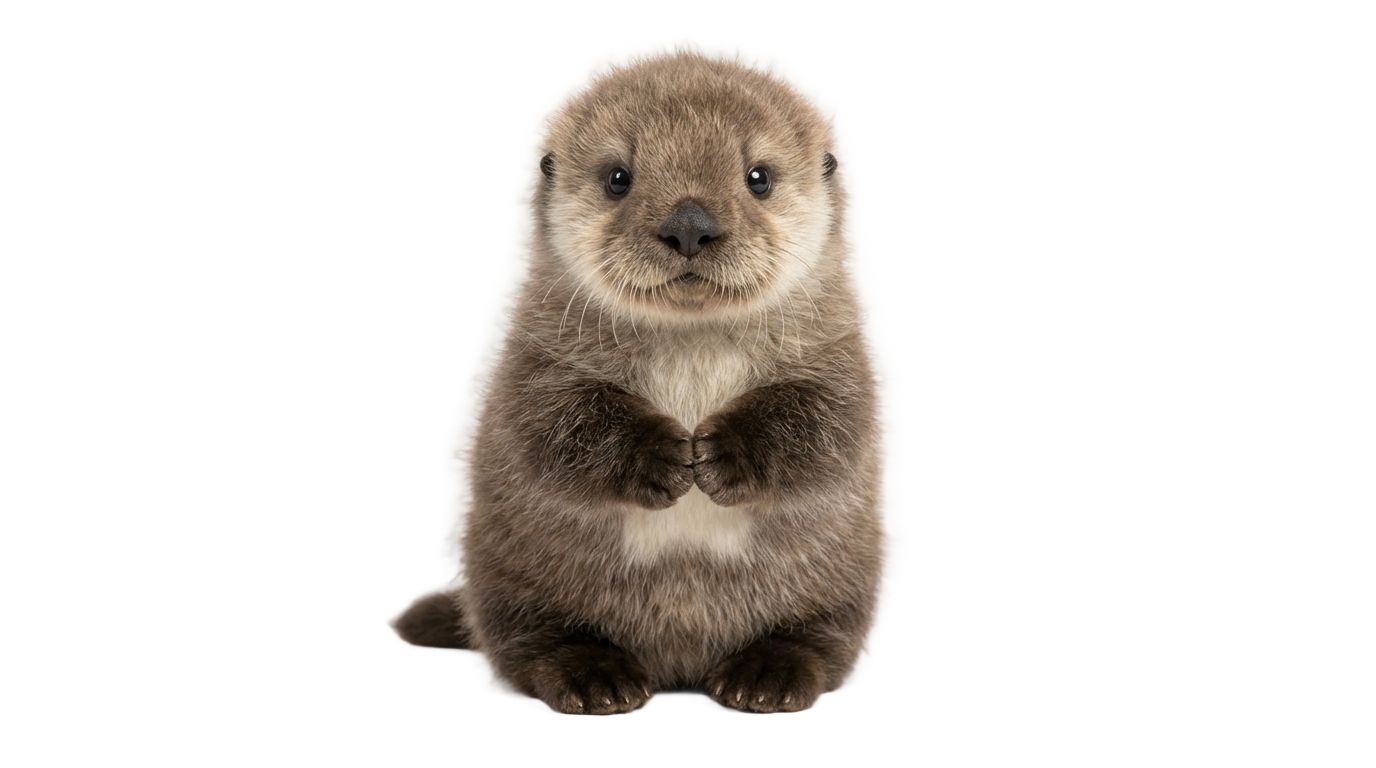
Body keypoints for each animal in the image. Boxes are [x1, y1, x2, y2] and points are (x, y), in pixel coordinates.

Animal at [395, 50, 881, 714]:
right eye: (618, 177)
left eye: (758, 177)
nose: (689, 224)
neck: (692, 347)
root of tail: (680, 668)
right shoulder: (535, 356)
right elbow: (551, 425)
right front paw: (664, 458)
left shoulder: (836, 353)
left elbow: (827, 424)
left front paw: (721, 454)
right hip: (509, 577)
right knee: (530, 644)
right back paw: (594, 678)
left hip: (838, 582)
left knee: (820, 639)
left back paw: (766, 676)